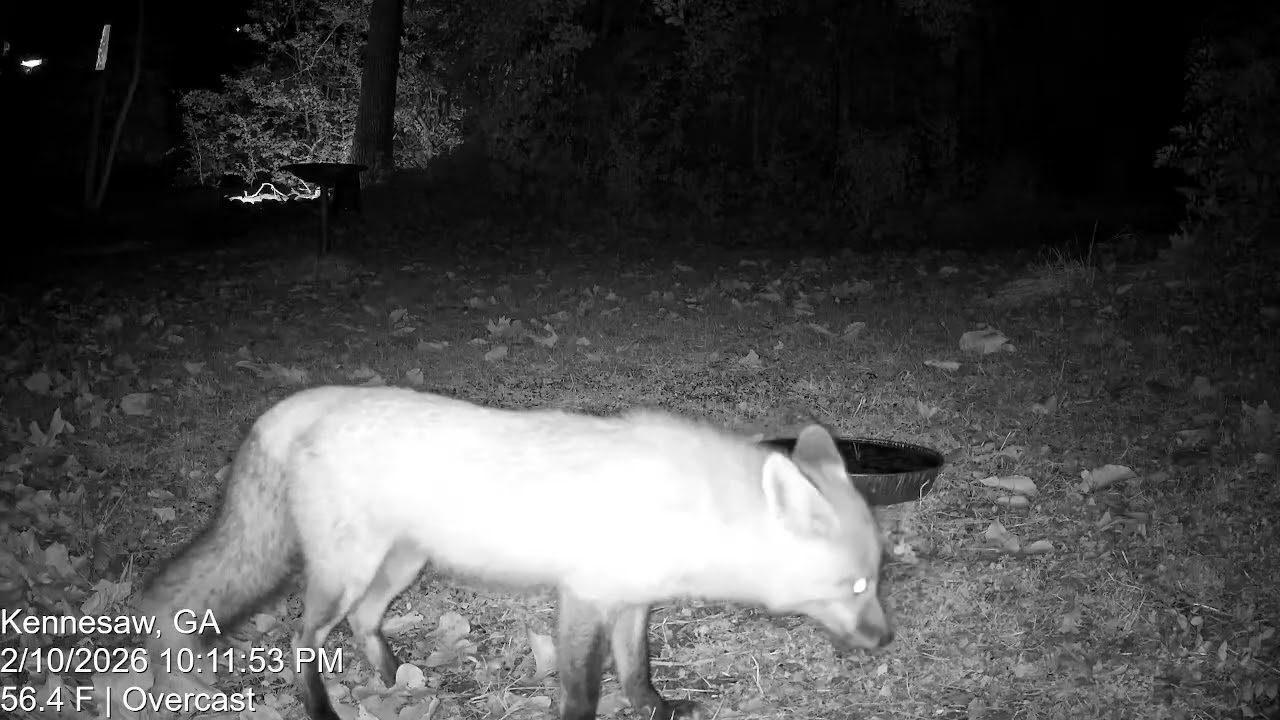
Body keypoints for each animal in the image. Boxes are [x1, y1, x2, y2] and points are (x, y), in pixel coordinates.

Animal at [138, 386, 891, 720]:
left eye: (877, 580)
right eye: (857, 587)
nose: (887, 640)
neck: (687, 508)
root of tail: (308, 402)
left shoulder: (633, 601)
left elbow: (638, 671)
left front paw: (657, 707)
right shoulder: (583, 598)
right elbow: (582, 693)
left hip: (401, 565)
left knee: (363, 623)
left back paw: (396, 681)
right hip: (346, 572)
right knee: (304, 638)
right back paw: (323, 710)